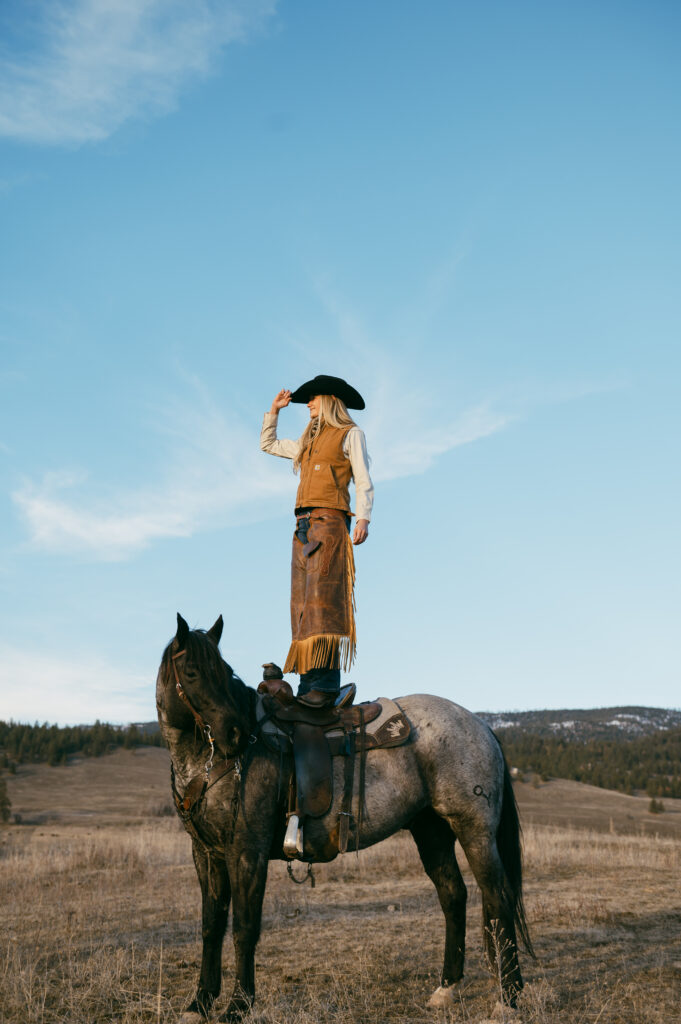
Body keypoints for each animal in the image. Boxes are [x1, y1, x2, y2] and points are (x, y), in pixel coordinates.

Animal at [155, 610, 532, 1019]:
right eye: (192, 672)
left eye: (224, 672)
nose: (236, 733)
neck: (210, 766)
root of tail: (482, 725)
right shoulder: (207, 854)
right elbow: (211, 925)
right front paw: (199, 1002)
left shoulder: (247, 851)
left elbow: (244, 925)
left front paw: (239, 1005)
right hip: (431, 831)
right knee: (453, 896)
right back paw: (446, 989)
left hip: (475, 830)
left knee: (497, 897)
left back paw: (509, 999)